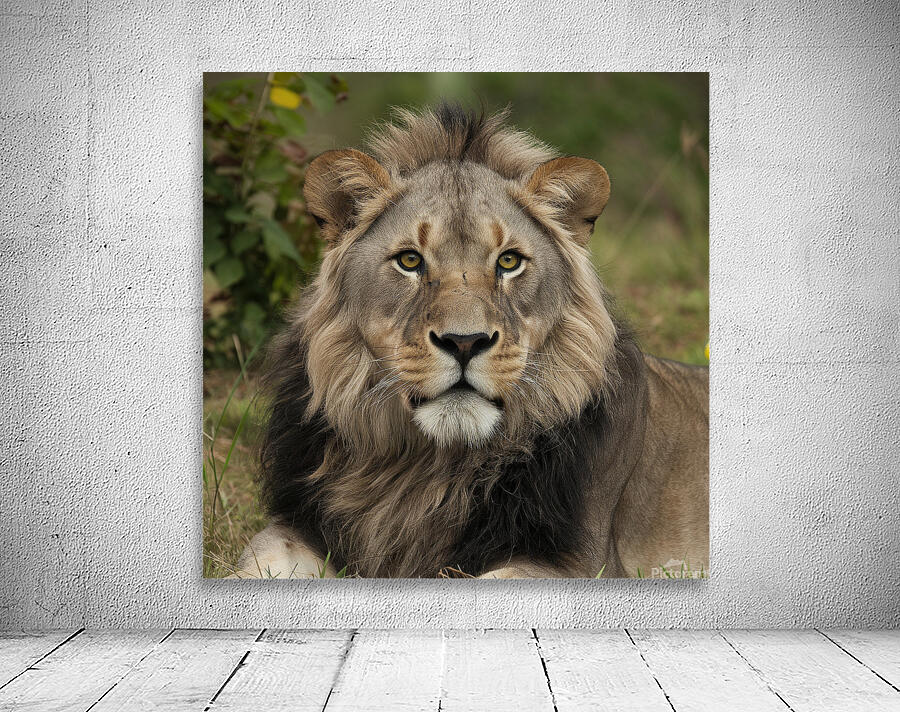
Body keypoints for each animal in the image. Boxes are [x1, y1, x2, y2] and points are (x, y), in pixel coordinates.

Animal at [230, 103, 708, 579]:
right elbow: (253, 568)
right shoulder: (295, 527)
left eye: (509, 261)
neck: (426, 469)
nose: (465, 342)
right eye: (410, 260)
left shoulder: (581, 562)